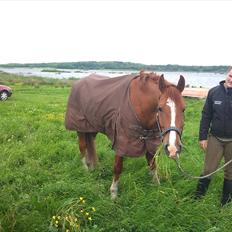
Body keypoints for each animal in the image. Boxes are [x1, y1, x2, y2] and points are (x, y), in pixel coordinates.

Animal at [65, 70, 185, 198]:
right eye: (160, 108)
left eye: (183, 109)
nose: (173, 148)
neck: (139, 103)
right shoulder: (121, 142)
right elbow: (118, 167)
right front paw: (113, 194)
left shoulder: (148, 141)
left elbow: (152, 165)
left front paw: (157, 188)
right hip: (80, 128)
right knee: (82, 147)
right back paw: (86, 169)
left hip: (91, 128)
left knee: (90, 144)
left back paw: (91, 165)